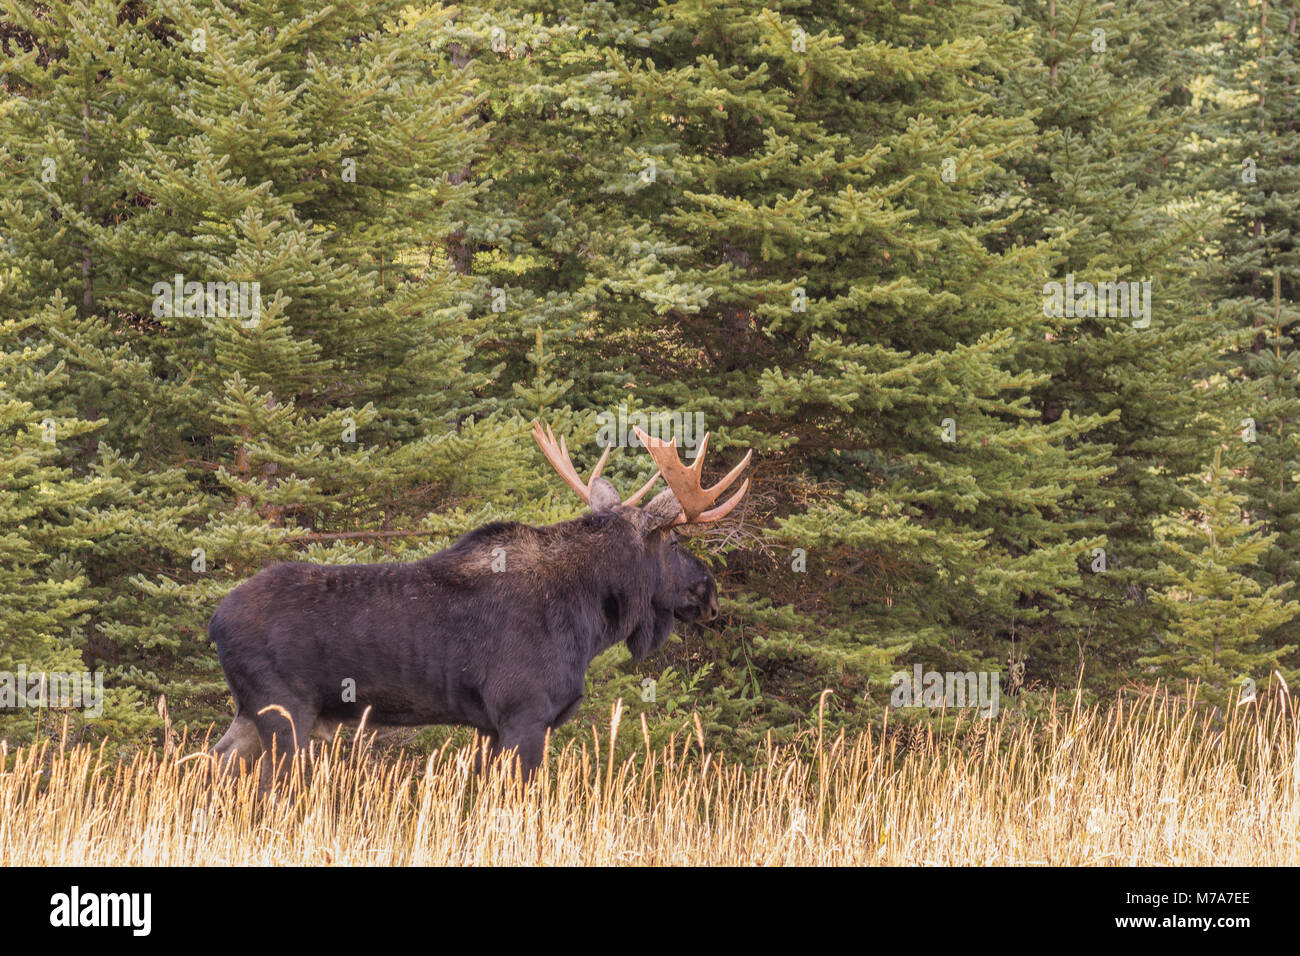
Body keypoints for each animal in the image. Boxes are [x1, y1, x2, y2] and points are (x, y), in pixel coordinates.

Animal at [207, 421, 751, 780]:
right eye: (676, 542)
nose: (711, 595)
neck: (592, 623)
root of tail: (215, 622)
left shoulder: (491, 726)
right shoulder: (524, 713)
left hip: (250, 711)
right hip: (285, 711)